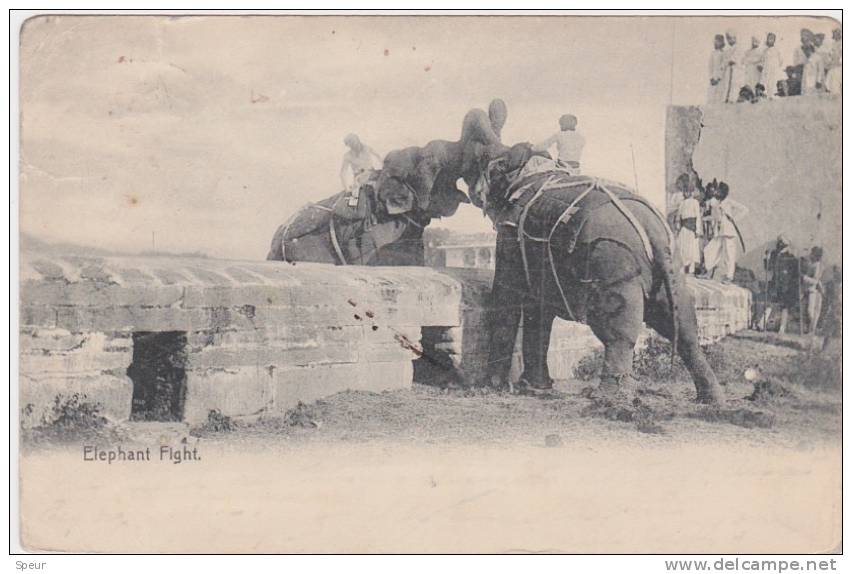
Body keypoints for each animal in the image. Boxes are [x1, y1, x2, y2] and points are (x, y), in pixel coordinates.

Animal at [470, 143, 724, 404]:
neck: (529, 172)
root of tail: (654, 232)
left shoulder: (510, 232)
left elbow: (507, 297)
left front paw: (493, 386)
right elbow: (539, 308)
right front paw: (536, 387)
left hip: (613, 265)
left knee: (616, 330)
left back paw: (608, 396)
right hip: (669, 270)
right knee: (683, 324)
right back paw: (711, 398)